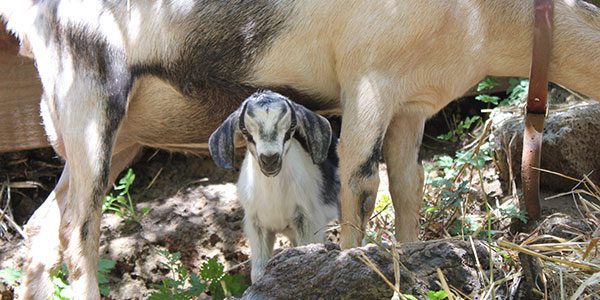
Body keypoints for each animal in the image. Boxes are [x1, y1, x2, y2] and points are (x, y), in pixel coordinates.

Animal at [209, 91, 340, 282]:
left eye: (291, 127)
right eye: (245, 131)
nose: (270, 160)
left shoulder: (308, 219)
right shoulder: (256, 225)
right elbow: (258, 271)